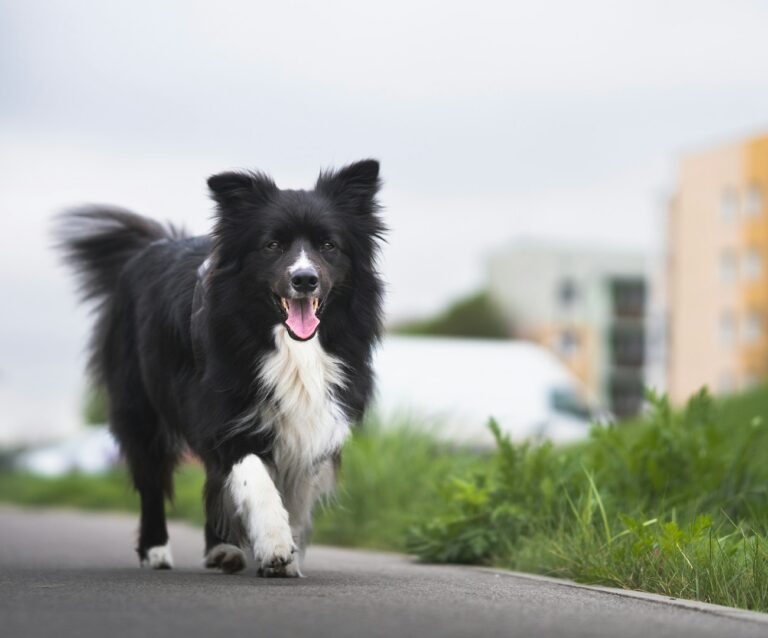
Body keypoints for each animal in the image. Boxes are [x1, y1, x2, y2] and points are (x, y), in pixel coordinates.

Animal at [55, 161, 384, 580]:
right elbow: (253, 476)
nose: (305, 279)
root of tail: (151, 247)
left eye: (329, 245)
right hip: (139, 403)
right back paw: (156, 551)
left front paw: (289, 555)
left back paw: (222, 549)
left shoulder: (315, 421)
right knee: (151, 478)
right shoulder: (224, 412)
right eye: (272, 245)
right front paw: (276, 545)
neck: (289, 345)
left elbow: (294, 496)